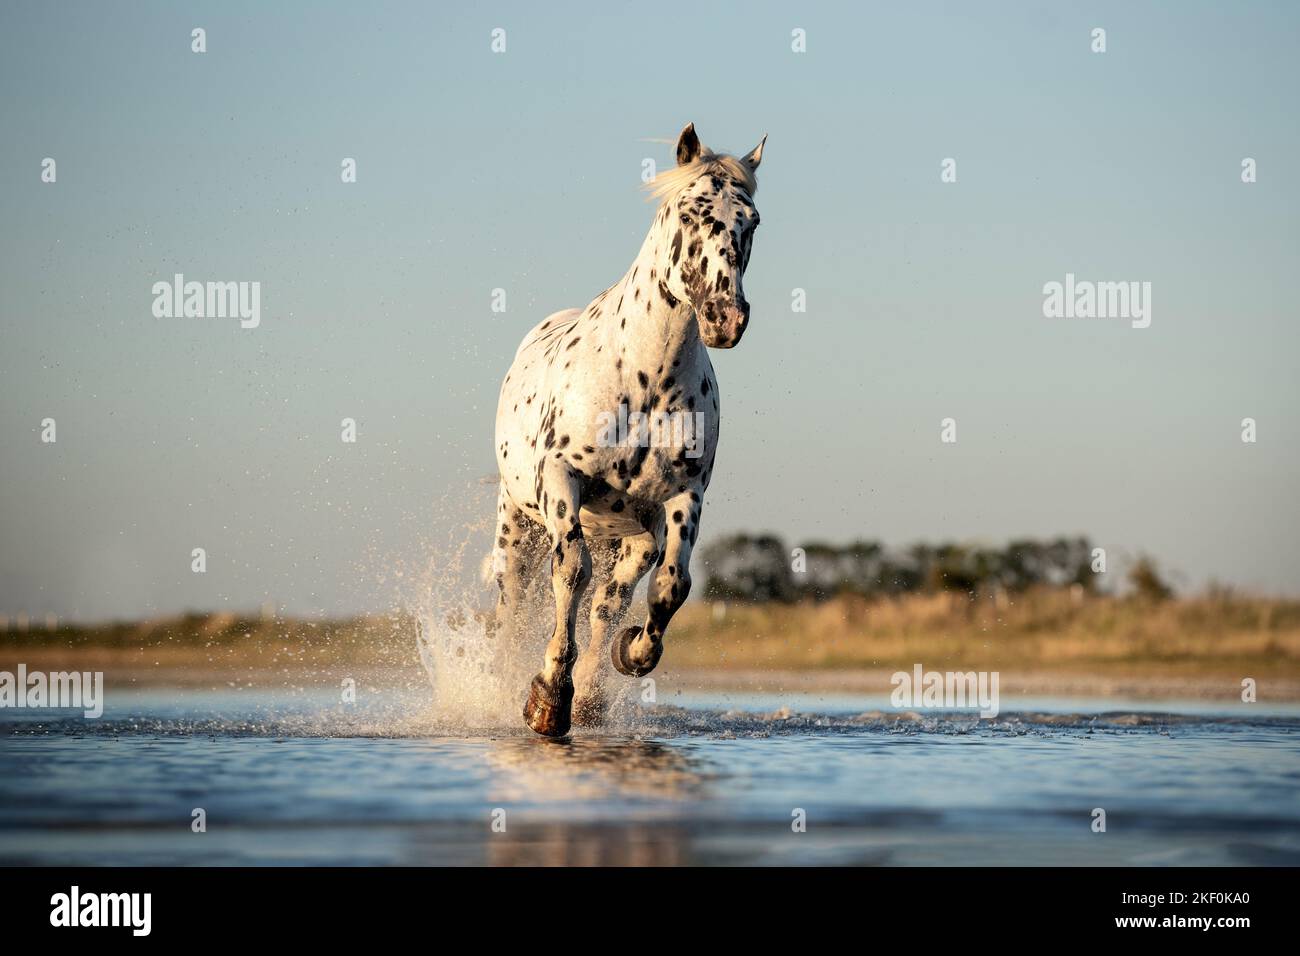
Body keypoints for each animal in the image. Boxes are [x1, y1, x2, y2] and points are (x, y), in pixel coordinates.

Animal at [491, 123, 766, 736]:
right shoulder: (562, 479)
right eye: (688, 212)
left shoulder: (683, 497)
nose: (725, 318)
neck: (644, 377)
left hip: (637, 534)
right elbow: (570, 572)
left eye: (752, 220)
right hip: (518, 522)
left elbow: (671, 588)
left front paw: (632, 654)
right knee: (513, 606)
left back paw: (595, 690)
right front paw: (547, 699)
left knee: (609, 602)